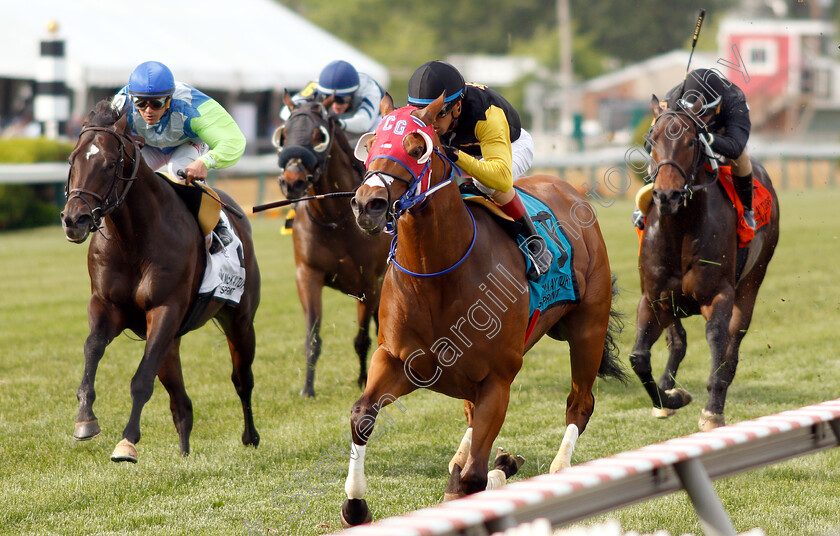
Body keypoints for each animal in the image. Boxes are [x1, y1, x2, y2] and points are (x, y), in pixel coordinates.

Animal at [60, 99, 260, 460]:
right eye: (72, 160)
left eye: (110, 163)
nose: (74, 219)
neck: (134, 238)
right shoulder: (106, 305)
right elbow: (92, 348)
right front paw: (85, 419)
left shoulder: (165, 308)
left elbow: (141, 379)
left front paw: (127, 442)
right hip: (173, 340)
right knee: (182, 403)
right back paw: (184, 455)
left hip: (239, 318)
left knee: (242, 379)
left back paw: (250, 436)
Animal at [278, 94, 392, 398]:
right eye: (284, 134)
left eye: (319, 136)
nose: (291, 182)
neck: (336, 220)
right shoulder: (308, 275)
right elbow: (313, 338)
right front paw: (307, 389)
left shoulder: (370, 283)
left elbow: (363, 338)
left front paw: (364, 380)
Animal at [338, 94, 628, 524]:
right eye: (371, 144)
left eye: (417, 147)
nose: (367, 204)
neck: (438, 277)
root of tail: (569, 188)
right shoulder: (396, 360)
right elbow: (363, 415)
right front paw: (355, 506)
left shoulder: (498, 379)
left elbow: (474, 478)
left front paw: (488, 475)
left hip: (587, 330)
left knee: (580, 404)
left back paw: (556, 468)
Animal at [632, 96, 780, 432]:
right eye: (651, 140)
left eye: (690, 142)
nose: (667, 195)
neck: (681, 227)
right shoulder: (654, 298)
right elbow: (639, 358)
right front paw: (669, 398)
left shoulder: (719, 295)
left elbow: (717, 340)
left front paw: (712, 410)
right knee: (678, 341)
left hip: (754, 280)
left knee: (733, 344)